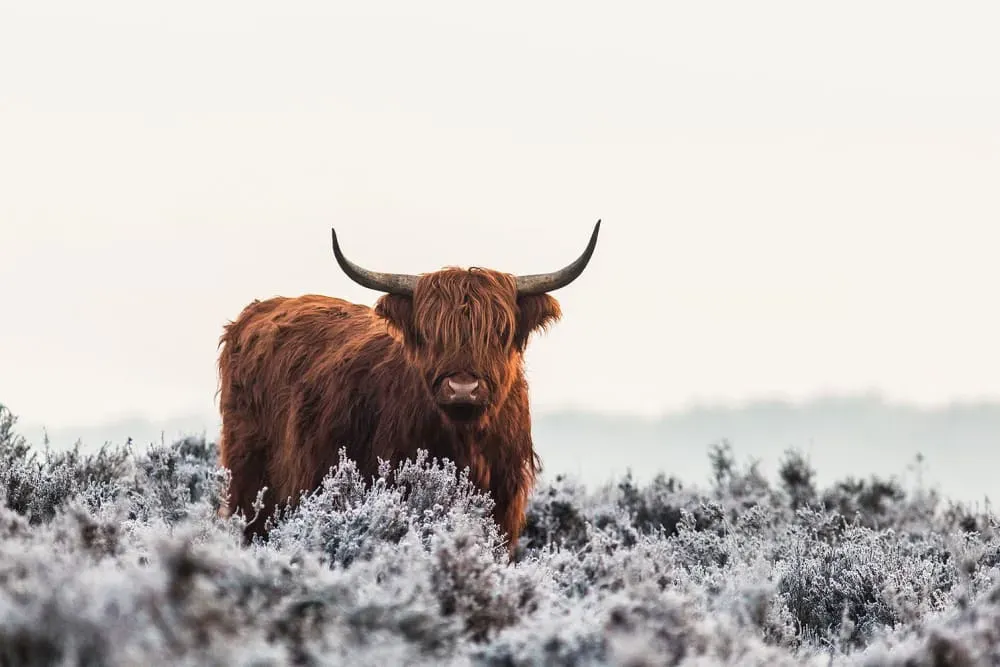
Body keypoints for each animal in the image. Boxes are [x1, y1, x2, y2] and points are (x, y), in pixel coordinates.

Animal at [216, 221, 600, 554]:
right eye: (430, 331)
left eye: (500, 331)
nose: (463, 388)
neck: (465, 440)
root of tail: (258, 311)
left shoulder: (504, 505)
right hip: (249, 480)